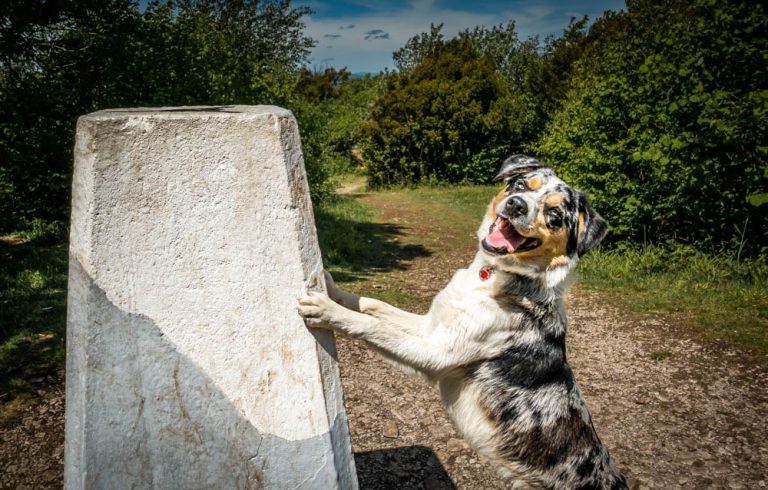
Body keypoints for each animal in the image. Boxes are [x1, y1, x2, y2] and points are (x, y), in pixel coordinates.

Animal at [296, 155, 628, 488]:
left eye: (555, 214)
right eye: (522, 185)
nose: (516, 205)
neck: (491, 277)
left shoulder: (435, 352)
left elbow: (372, 325)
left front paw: (326, 308)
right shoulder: (431, 327)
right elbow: (374, 305)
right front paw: (333, 288)